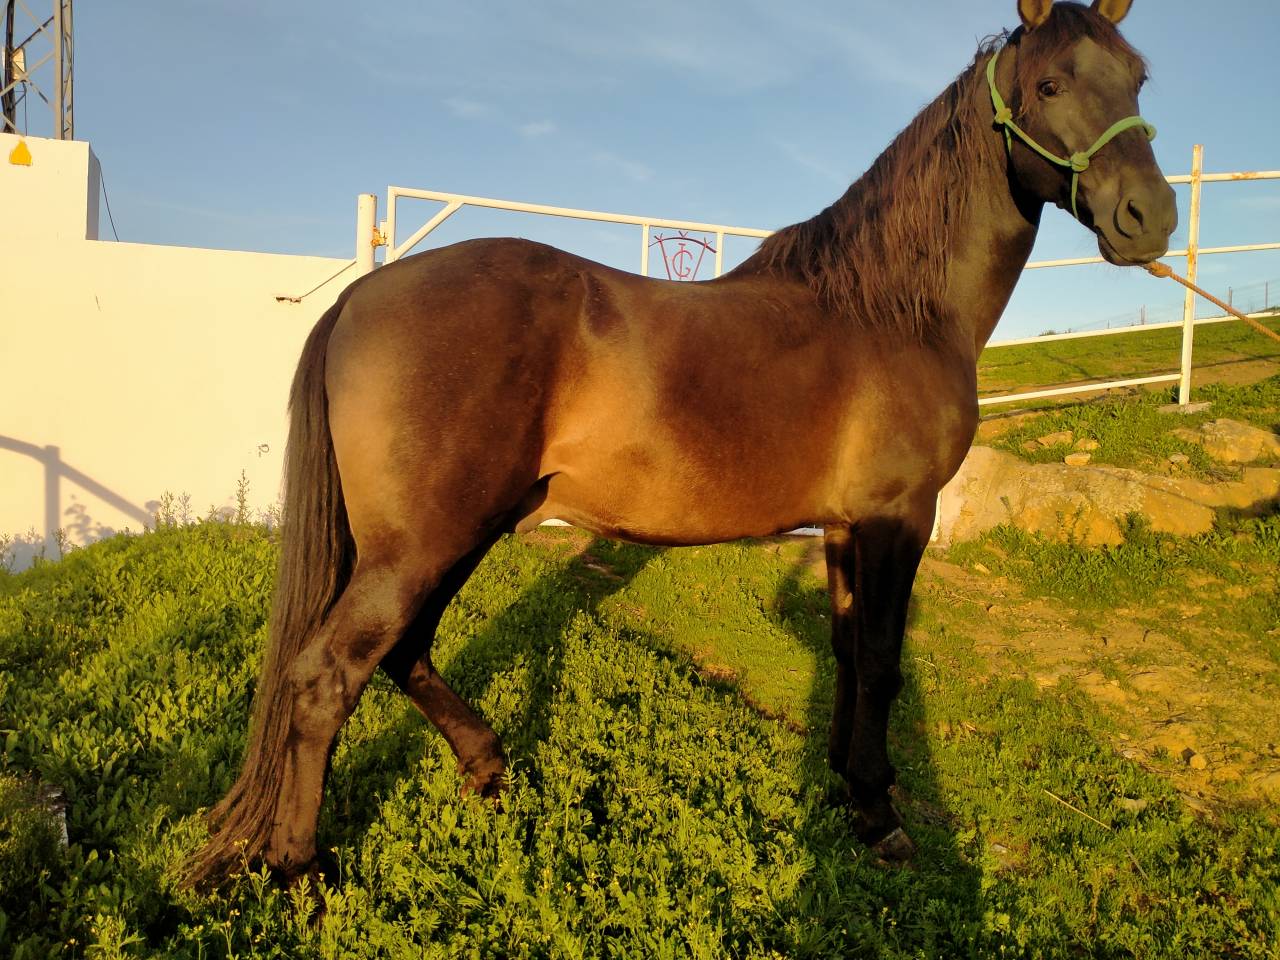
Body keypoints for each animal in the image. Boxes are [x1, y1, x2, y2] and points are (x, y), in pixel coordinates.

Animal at [191, 0, 1176, 887]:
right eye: (1049, 85)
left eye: (1137, 79)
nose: (1151, 218)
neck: (891, 309)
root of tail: (363, 294)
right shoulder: (901, 520)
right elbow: (883, 660)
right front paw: (881, 811)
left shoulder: (845, 526)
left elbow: (846, 648)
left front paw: (846, 783)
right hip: (421, 545)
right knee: (326, 677)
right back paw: (297, 865)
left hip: (451, 536)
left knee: (404, 653)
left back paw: (488, 765)